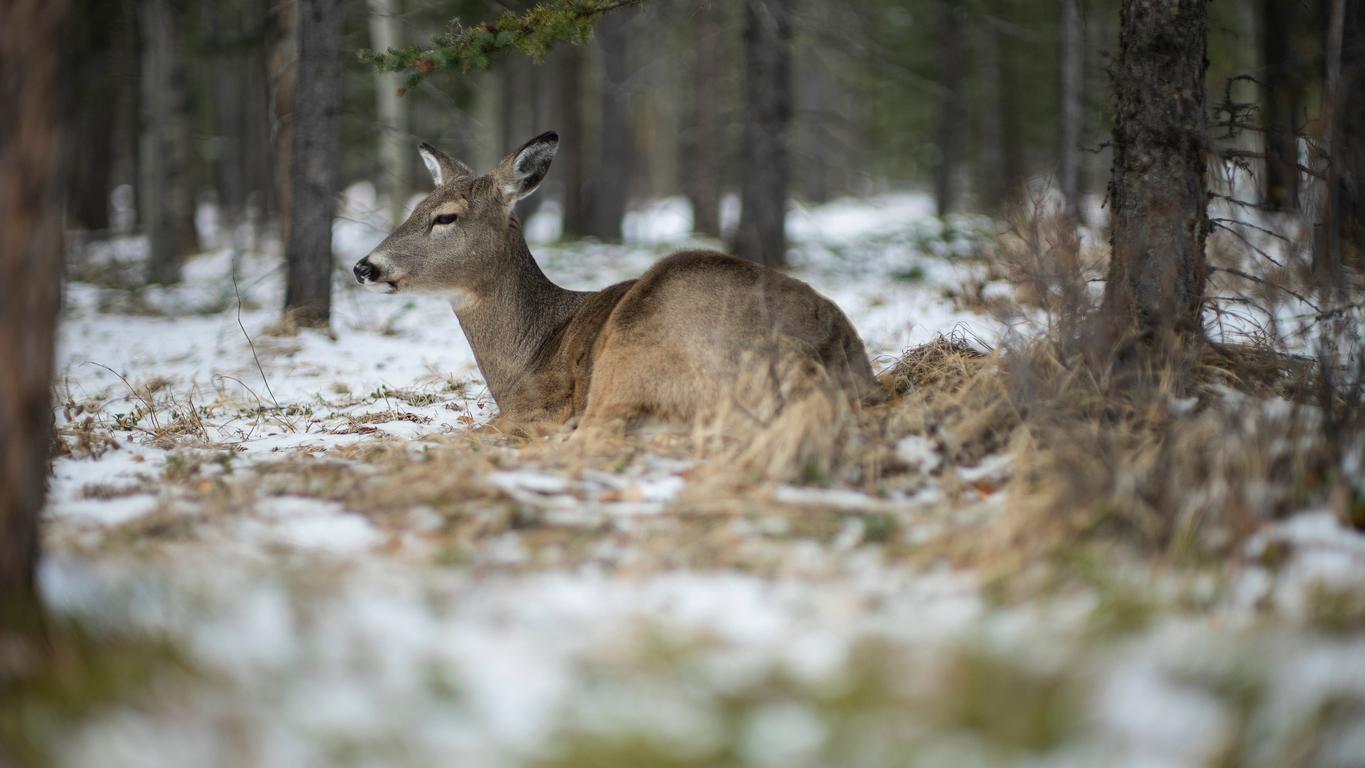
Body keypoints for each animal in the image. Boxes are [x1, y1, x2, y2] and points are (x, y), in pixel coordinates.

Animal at [353, 131, 883, 475]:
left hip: (639, 343)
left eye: (446, 217)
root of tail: (809, 356)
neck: (529, 352)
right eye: (413, 209)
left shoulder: (540, 404)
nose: (364, 267)